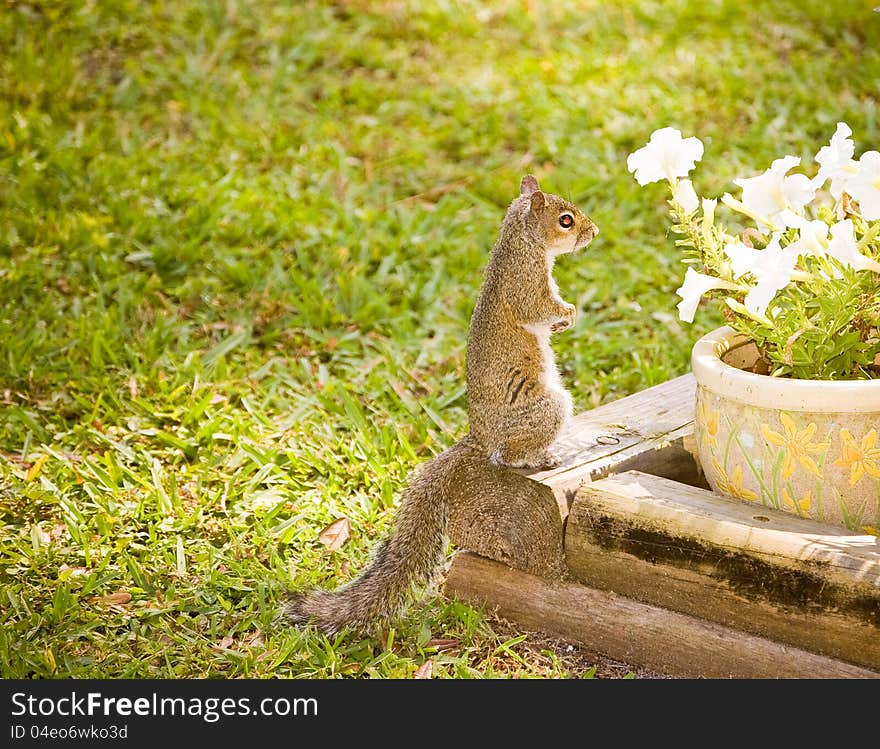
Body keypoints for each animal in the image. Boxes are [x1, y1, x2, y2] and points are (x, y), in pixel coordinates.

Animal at [286, 177, 600, 636]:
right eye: (565, 220)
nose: (593, 233)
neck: (520, 244)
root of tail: (478, 438)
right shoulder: (527, 284)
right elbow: (541, 307)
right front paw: (569, 314)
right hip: (547, 407)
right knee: (509, 456)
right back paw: (540, 456)